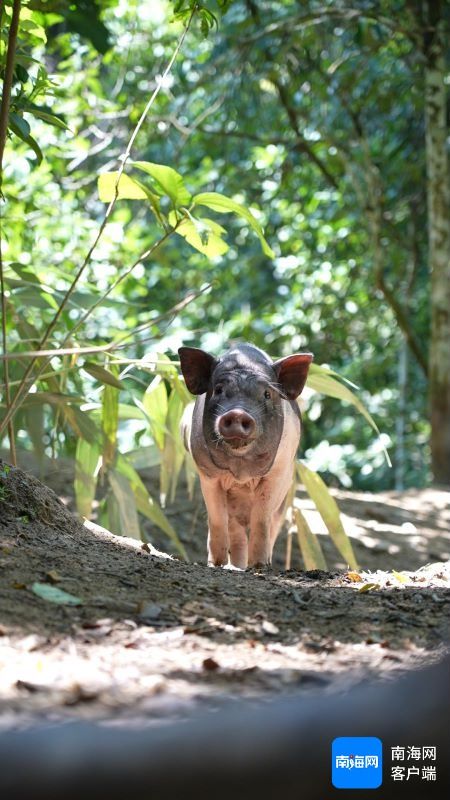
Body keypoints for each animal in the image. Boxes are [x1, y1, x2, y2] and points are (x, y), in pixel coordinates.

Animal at [179, 344, 312, 568]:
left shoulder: (278, 473)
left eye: (267, 393)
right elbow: (217, 519)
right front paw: (216, 564)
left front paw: (259, 566)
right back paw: (236, 566)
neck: (241, 471)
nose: (237, 413)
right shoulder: (208, 474)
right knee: (235, 531)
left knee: (271, 526)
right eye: (219, 390)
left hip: (285, 501)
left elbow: (262, 519)